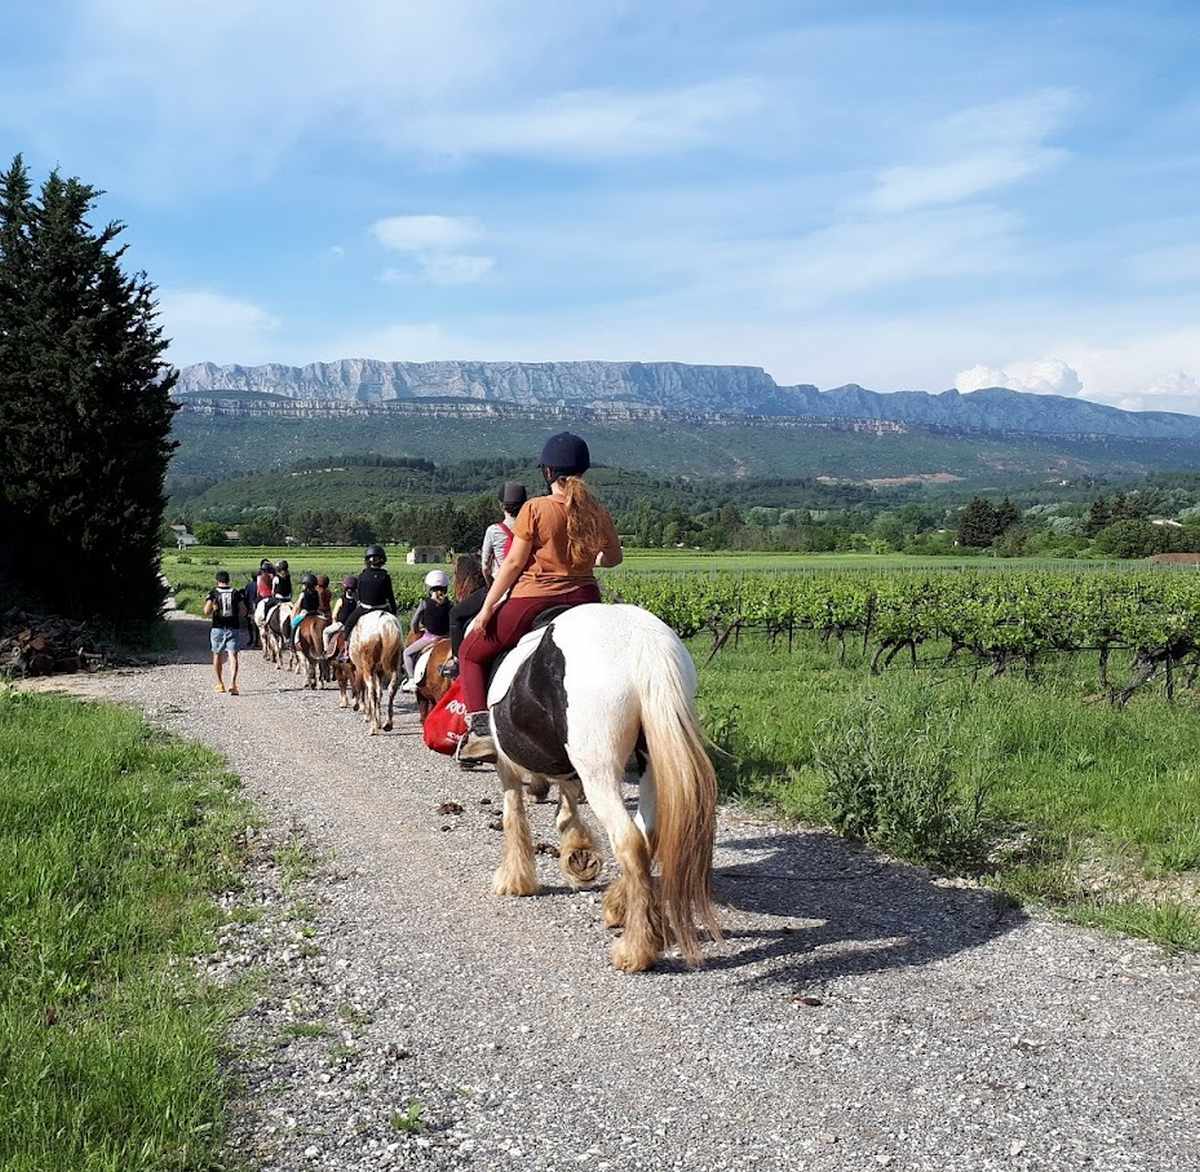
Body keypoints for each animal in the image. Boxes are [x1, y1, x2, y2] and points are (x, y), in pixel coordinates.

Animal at [482, 599, 715, 974]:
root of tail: (644, 647)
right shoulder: (568, 770)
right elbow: (567, 806)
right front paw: (577, 855)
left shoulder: (507, 767)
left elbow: (512, 817)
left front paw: (516, 880)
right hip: (651, 761)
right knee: (647, 833)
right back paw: (621, 906)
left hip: (600, 770)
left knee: (629, 840)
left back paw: (635, 949)